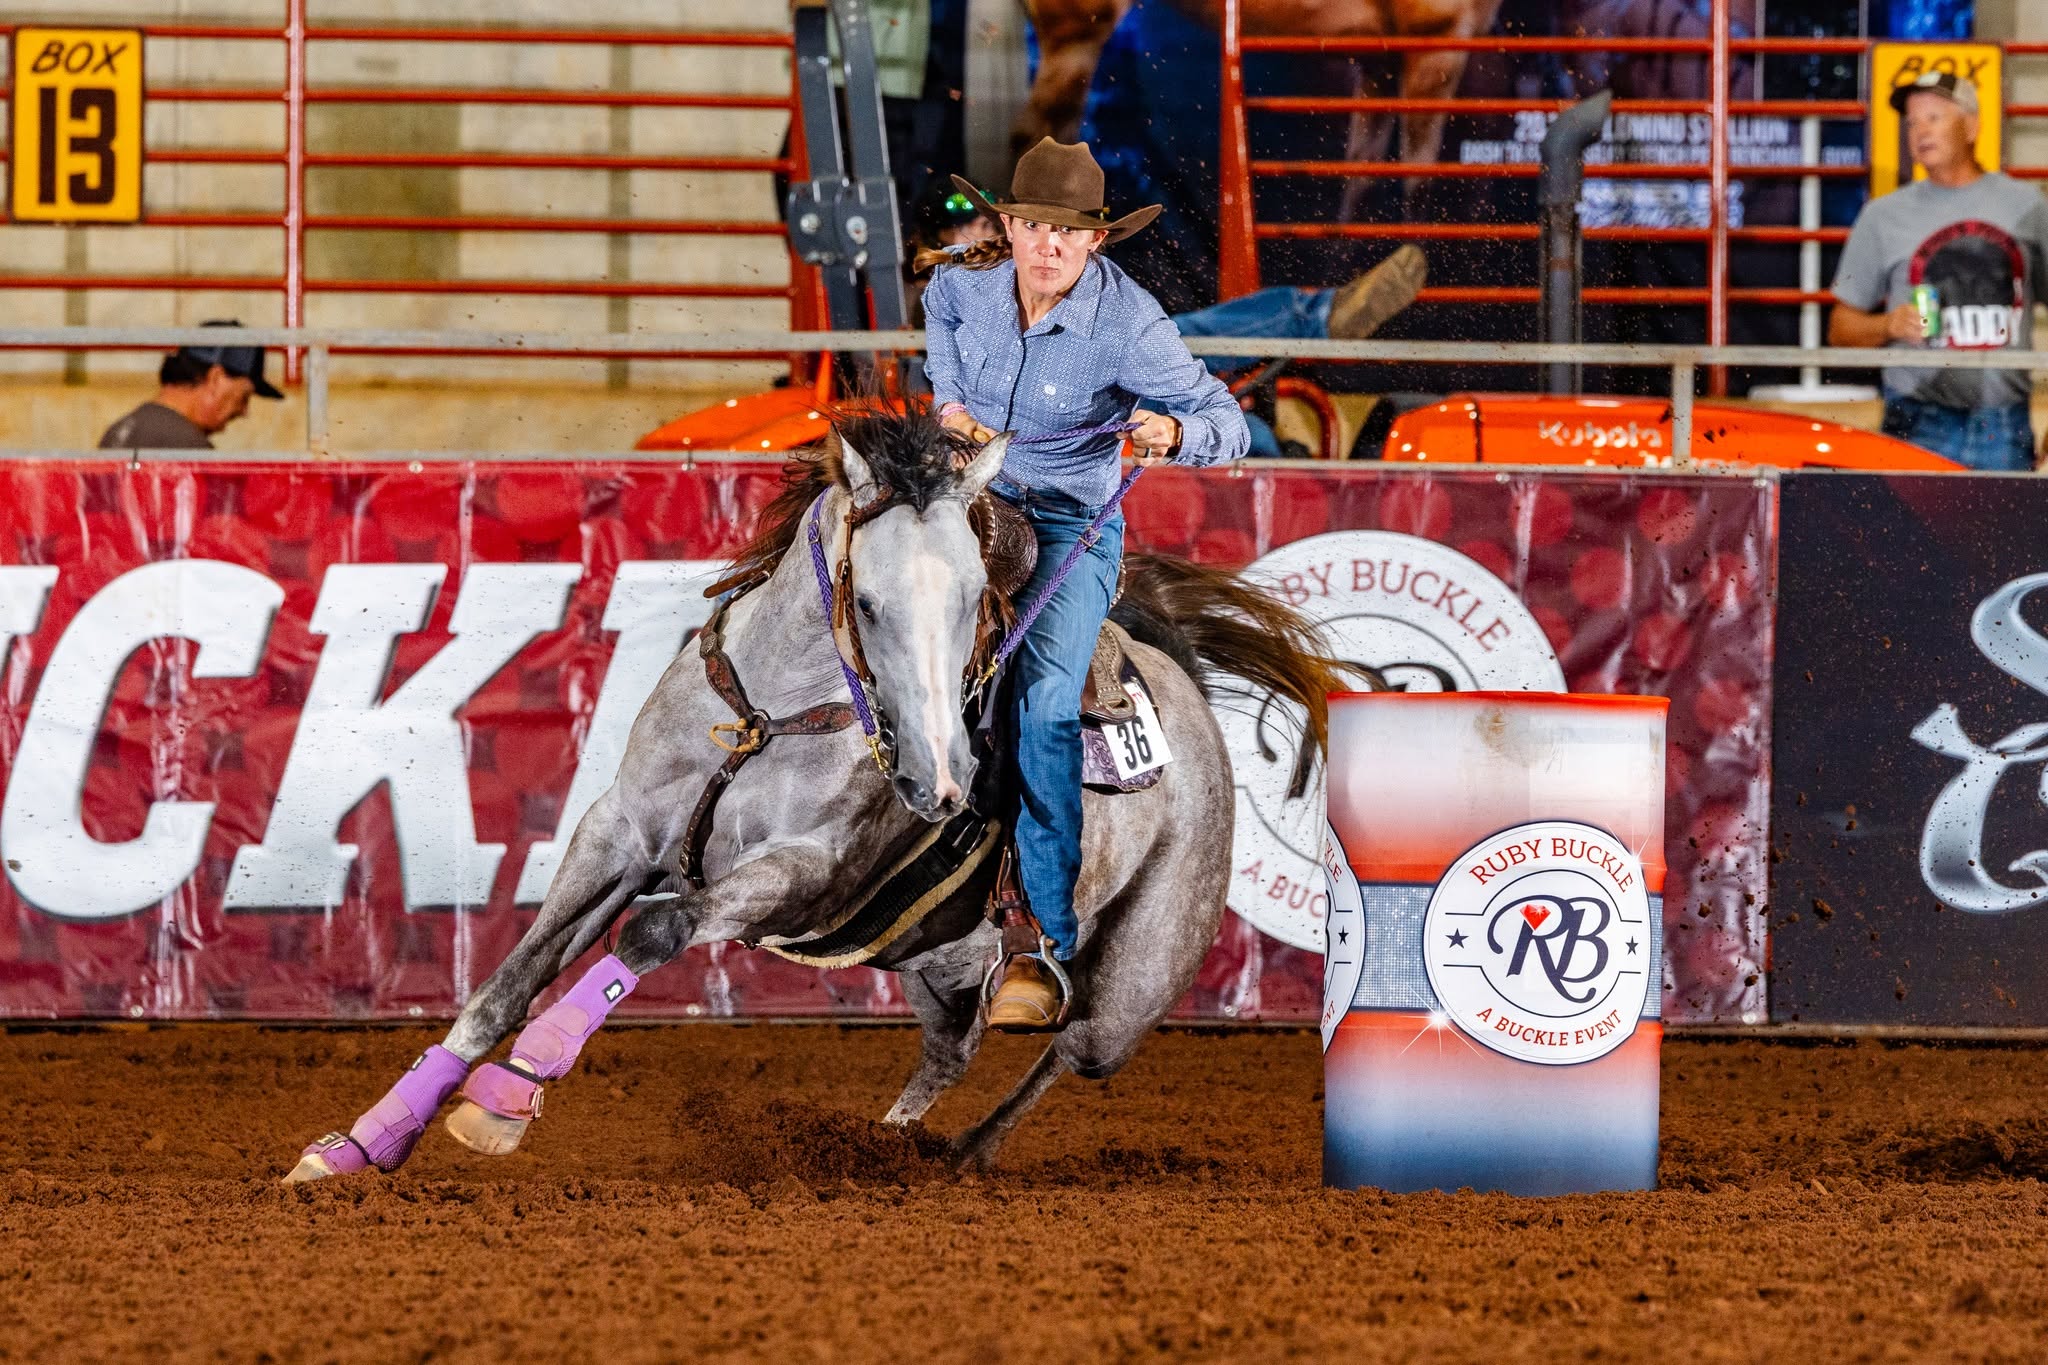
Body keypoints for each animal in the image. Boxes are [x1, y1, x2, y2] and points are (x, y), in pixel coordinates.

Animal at [283, 406, 1348, 1180]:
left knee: (1064, 1050)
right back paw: (886, 1144)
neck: (773, 711)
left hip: (1134, 980)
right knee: (953, 1046)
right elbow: (502, 986)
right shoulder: (615, 834)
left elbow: (653, 930)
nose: (938, 781)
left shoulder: (798, 874)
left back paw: (962, 1154)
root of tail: (1181, 689)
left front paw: (506, 1099)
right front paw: (359, 1144)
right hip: (943, 959)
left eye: (976, 605)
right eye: (866, 602)